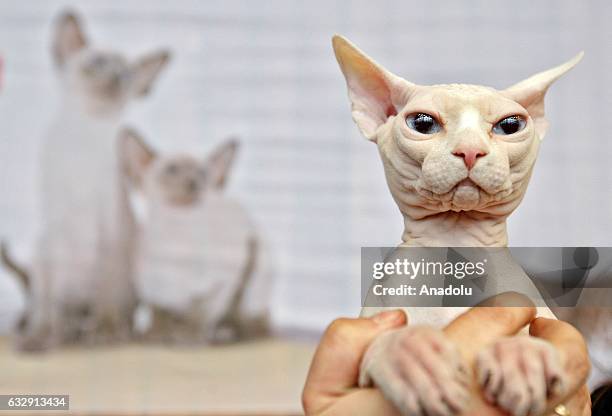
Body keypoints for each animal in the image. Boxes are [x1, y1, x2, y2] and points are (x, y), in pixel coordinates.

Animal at [2, 9, 170, 352]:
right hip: (43, 253)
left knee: (110, 313)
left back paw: (104, 332)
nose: (114, 80)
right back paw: (48, 334)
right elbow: (52, 305)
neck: (82, 137)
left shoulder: (108, 229)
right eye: (95, 64)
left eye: (126, 77)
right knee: (50, 307)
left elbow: (105, 298)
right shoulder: (56, 227)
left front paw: (104, 335)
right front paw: (45, 338)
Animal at [120, 127, 272, 344]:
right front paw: (155, 334)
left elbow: (199, 312)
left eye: (203, 173)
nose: (194, 183)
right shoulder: (154, 290)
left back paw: (225, 334)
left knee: (254, 322)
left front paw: (189, 335)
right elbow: (160, 313)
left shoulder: (220, 284)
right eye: (172, 169)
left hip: (254, 271)